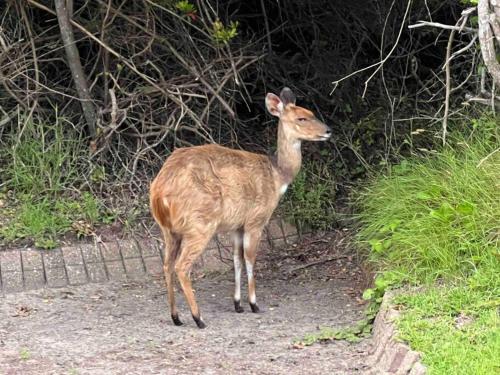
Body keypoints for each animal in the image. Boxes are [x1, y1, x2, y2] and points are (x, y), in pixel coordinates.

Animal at [151, 88, 332, 328]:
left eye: (311, 112)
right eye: (301, 118)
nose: (328, 131)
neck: (277, 177)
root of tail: (159, 191)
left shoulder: (236, 225)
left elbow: (236, 260)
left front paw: (237, 304)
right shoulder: (256, 220)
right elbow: (250, 259)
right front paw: (254, 304)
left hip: (168, 229)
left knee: (166, 265)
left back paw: (176, 317)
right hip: (200, 224)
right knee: (181, 266)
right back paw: (198, 318)